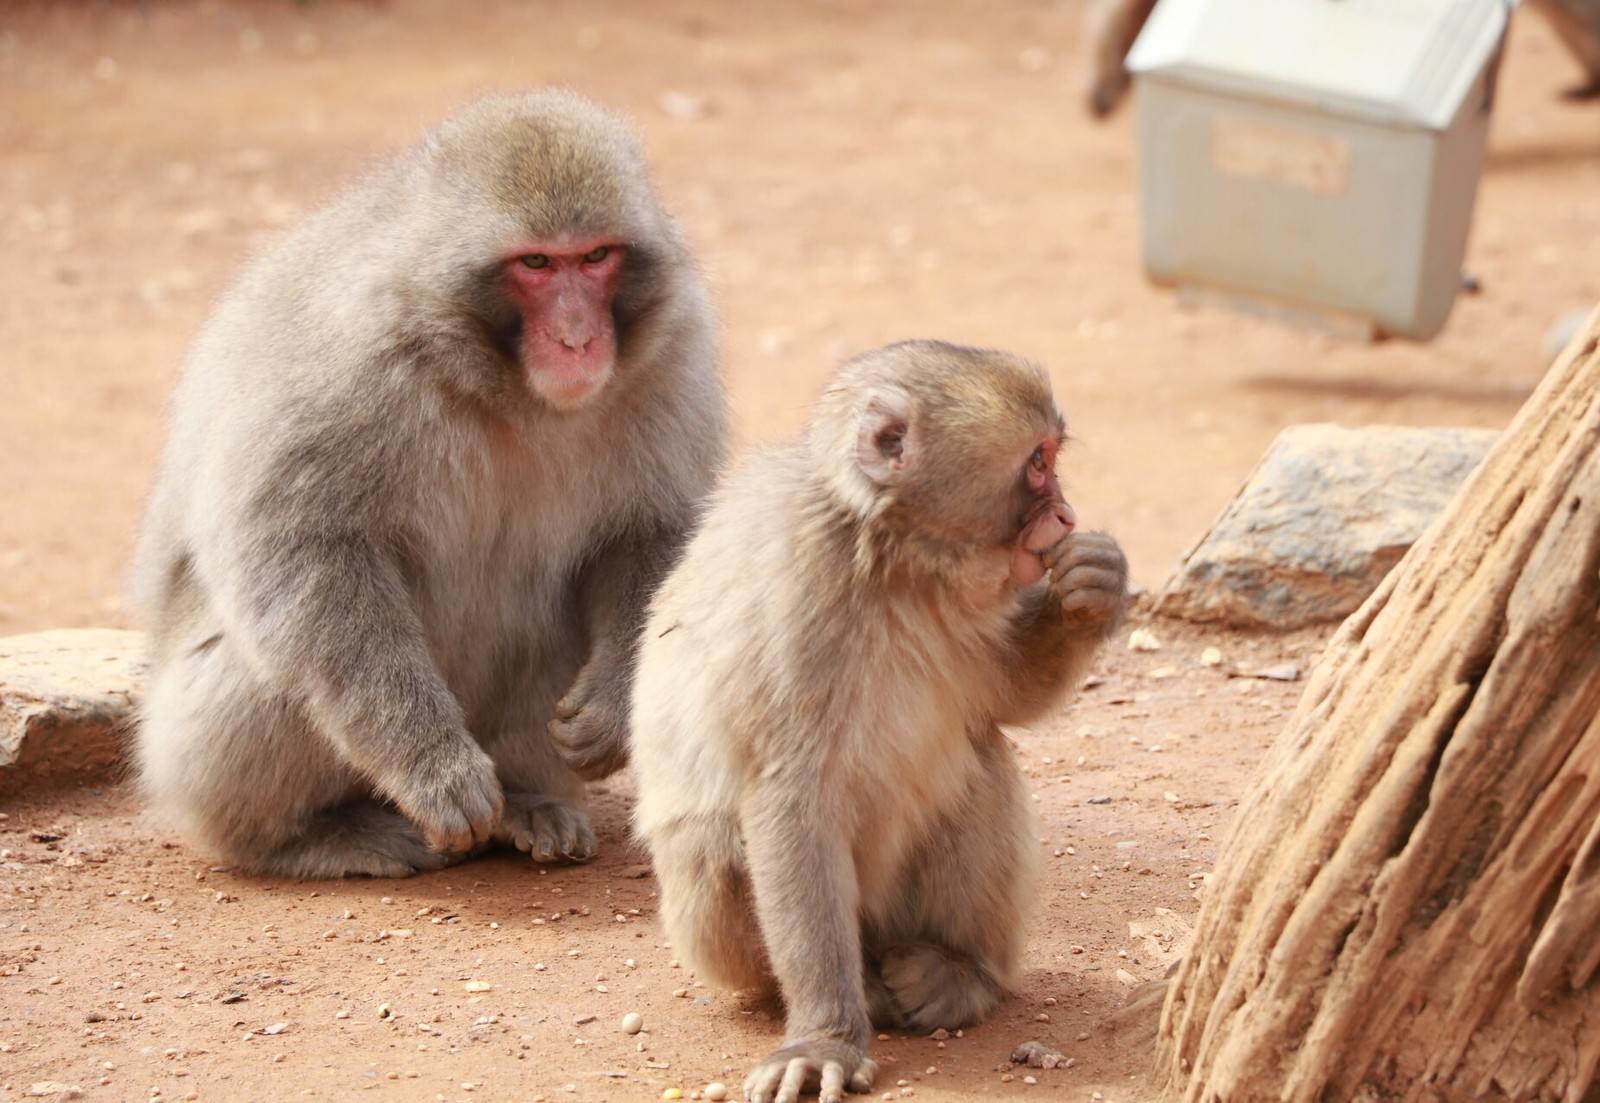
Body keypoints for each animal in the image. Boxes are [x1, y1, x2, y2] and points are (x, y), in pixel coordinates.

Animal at [130, 90, 726, 879]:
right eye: (537, 262)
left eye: (596, 256)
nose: (577, 338)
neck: (503, 386)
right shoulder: (351, 354)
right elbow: (302, 545)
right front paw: (433, 767)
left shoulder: (675, 345)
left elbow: (652, 534)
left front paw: (610, 708)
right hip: (188, 740)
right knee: (274, 661)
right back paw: (300, 837)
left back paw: (528, 803)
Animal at [629, 341, 1128, 1103]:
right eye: (1037, 462)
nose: (1068, 516)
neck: (898, 562)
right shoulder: (799, 598)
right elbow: (789, 798)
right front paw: (823, 1038)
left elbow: (1009, 698)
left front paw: (1095, 585)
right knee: (713, 841)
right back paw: (852, 988)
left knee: (979, 763)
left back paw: (961, 973)